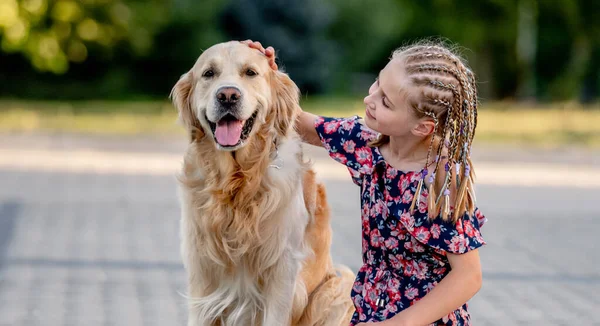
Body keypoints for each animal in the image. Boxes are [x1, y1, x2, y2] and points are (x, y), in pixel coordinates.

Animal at [171, 41, 354, 326]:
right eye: (209, 73)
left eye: (250, 72)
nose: (227, 96)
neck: (237, 183)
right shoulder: (201, 270)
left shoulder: (282, 271)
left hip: (340, 286)